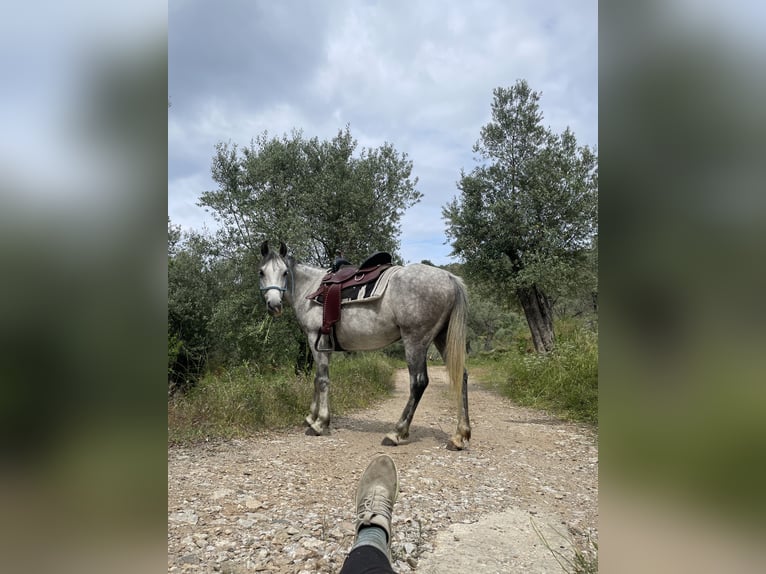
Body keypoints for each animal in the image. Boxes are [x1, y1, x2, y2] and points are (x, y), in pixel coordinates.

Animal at [257, 241, 472, 450]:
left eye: (285, 272)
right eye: (261, 272)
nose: (274, 305)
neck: (310, 287)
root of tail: (449, 278)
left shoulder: (315, 338)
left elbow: (322, 380)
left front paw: (320, 423)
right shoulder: (322, 345)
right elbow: (317, 378)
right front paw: (311, 417)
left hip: (415, 341)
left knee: (418, 382)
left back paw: (396, 433)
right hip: (441, 338)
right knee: (461, 376)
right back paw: (459, 436)